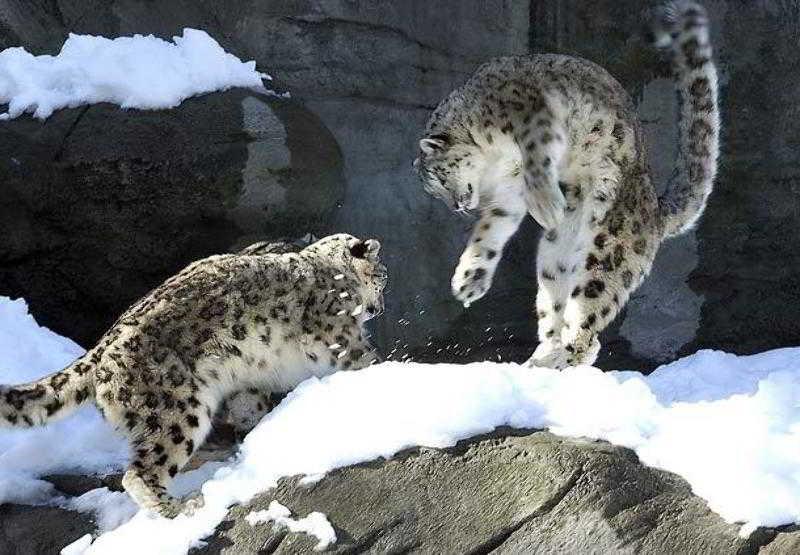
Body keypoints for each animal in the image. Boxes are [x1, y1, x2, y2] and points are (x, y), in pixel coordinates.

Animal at [0, 233, 388, 516]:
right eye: (382, 277)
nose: (380, 308)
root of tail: (100, 349)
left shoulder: (249, 383)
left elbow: (250, 410)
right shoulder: (341, 338)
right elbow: (367, 360)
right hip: (176, 410)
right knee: (141, 470)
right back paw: (182, 507)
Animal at [412, 2, 720, 372]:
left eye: (439, 180)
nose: (457, 206)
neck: (496, 155)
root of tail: (655, 212)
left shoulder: (535, 117)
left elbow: (536, 155)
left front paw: (546, 206)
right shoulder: (508, 189)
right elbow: (492, 226)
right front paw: (469, 280)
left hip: (609, 250)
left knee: (590, 316)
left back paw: (562, 355)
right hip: (553, 261)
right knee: (559, 308)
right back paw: (542, 357)